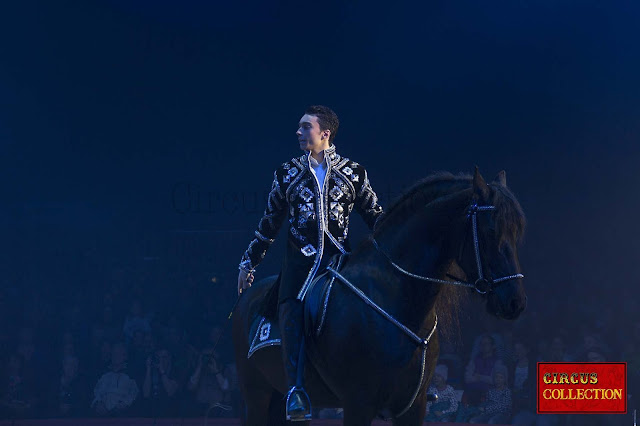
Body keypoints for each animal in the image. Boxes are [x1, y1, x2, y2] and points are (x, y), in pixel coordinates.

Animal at [232, 168, 528, 424]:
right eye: (490, 231)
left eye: (517, 232)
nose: (515, 303)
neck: (394, 301)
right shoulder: (358, 404)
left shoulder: (413, 407)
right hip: (256, 395)